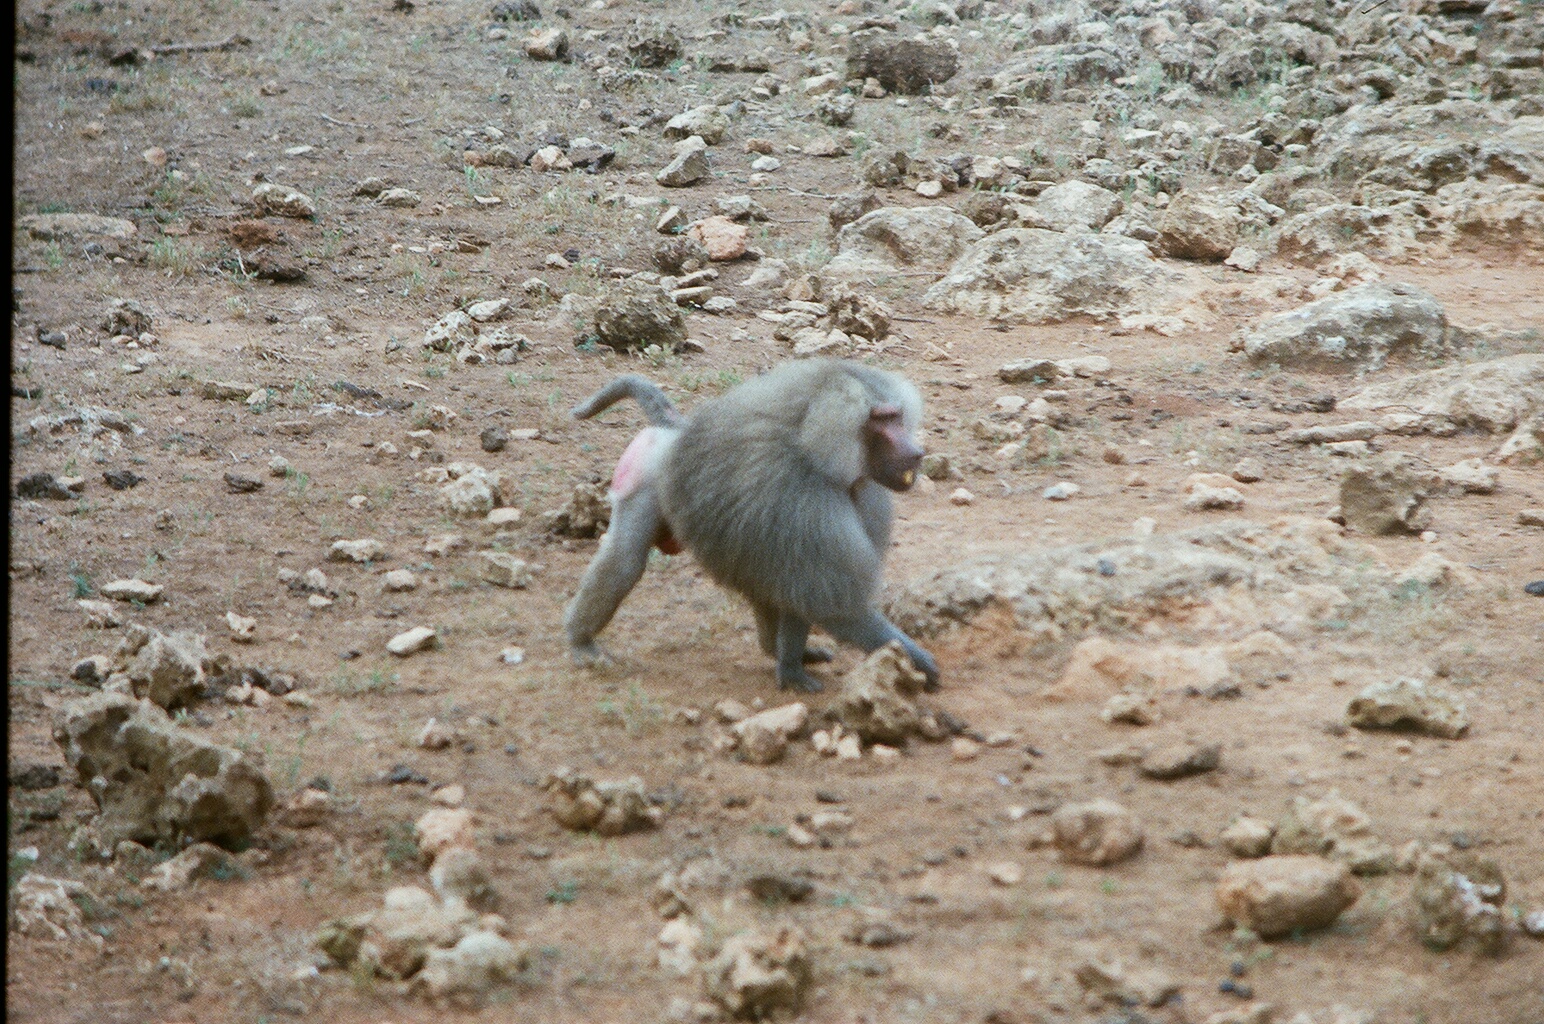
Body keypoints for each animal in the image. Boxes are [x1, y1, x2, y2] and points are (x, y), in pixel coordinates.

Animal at [563, 358, 940, 693]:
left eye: (896, 417)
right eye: (881, 420)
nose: (916, 453)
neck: (818, 452)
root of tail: (678, 431)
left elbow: (804, 593)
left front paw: (791, 668)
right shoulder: (801, 502)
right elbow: (835, 604)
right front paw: (920, 664)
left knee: (764, 584)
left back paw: (777, 650)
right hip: (645, 474)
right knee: (625, 561)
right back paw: (581, 643)